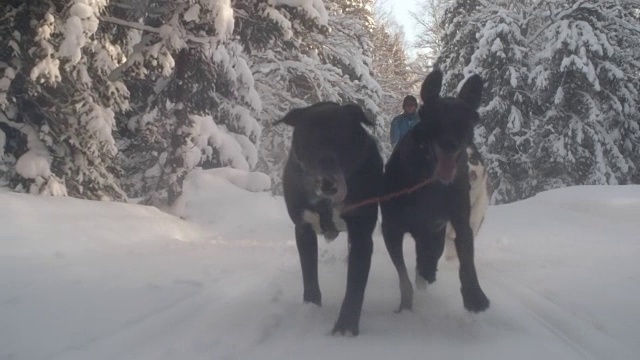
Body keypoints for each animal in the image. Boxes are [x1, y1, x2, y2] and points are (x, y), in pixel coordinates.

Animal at [278, 100, 380, 334]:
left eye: (341, 138)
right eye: (308, 140)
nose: (328, 183)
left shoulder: (361, 235)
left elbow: (355, 285)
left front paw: (346, 328)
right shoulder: (303, 230)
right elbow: (309, 273)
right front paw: (311, 307)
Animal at [380, 69, 490, 314]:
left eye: (465, 122)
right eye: (435, 120)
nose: (450, 144)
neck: (430, 183)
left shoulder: (459, 221)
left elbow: (466, 260)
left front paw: (474, 296)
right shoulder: (392, 229)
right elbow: (403, 277)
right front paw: (405, 306)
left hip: (435, 232)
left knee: (428, 257)